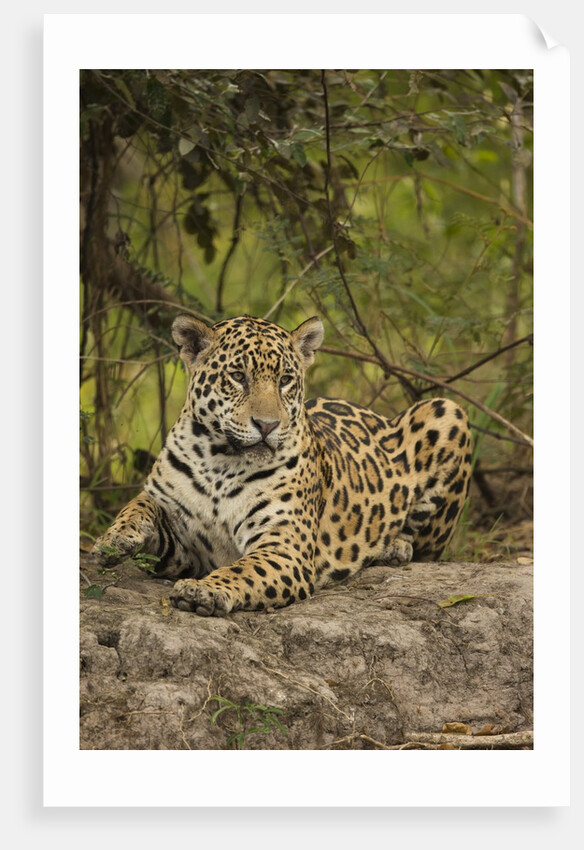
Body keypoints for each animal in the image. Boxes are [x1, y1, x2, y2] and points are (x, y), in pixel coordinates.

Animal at [92, 313, 472, 617]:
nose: (267, 425)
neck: (221, 460)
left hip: (447, 410)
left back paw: (393, 548)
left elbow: (244, 569)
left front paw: (204, 590)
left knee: (426, 548)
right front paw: (114, 539)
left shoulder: (284, 548)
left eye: (285, 380)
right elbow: (140, 504)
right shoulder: (185, 551)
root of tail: (377, 414)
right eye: (238, 376)